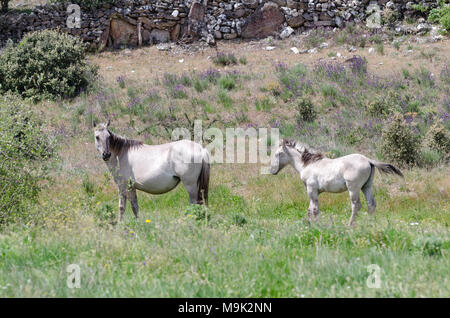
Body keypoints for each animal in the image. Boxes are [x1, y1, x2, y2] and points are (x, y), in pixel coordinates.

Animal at [268, 139, 402, 226]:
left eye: (278, 154)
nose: (271, 170)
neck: (308, 164)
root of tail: (369, 160)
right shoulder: (313, 191)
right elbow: (310, 209)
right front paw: (309, 224)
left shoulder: (311, 189)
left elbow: (315, 209)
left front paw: (316, 225)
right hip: (367, 186)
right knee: (371, 204)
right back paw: (370, 224)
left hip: (353, 189)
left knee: (356, 206)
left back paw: (350, 225)